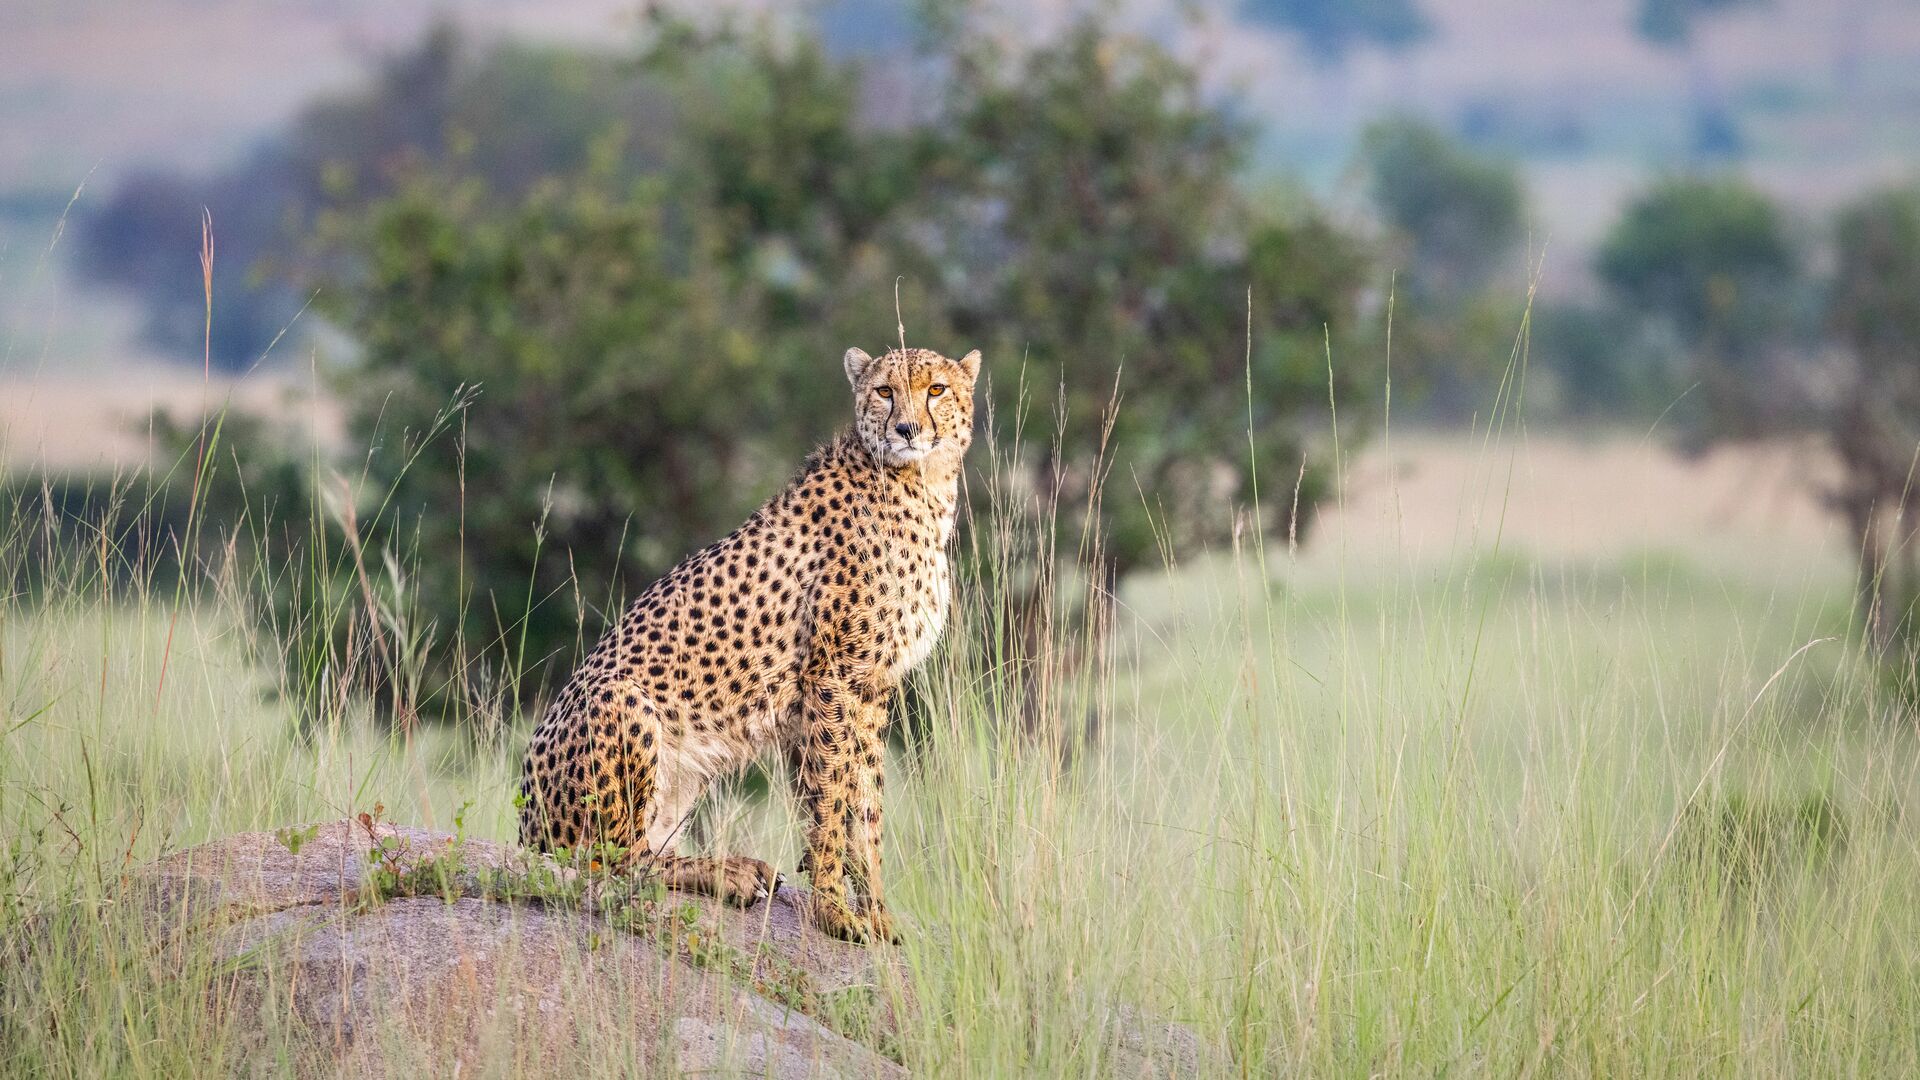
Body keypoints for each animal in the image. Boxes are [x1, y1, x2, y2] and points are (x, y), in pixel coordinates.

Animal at [517, 344, 979, 944]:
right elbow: (833, 799)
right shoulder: (831, 679)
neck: (918, 481)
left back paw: (737, 868)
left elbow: (864, 804)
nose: (906, 428)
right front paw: (834, 912)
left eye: (937, 389)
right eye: (884, 391)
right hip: (622, 700)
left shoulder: (869, 688)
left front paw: (875, 911)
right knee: (610, 858)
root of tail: (522, 822)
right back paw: (729, 872)